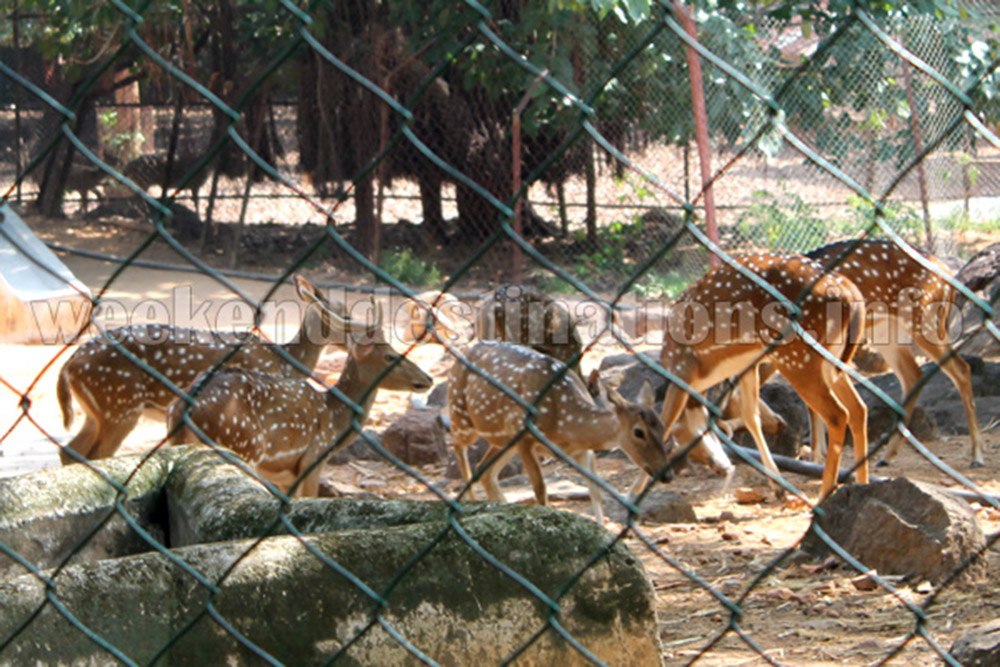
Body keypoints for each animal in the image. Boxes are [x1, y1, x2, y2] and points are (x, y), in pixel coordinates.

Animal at [56, 275, 348, 465]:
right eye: (345, 314)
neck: (284, 361)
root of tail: (69, 366)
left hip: (98, 411)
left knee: (70, 452)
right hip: (120, 406)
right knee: (98, 456)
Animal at [167, 300, 433, 497]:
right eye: (390, 356)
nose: (427, 378)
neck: (335, 419)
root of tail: (182, 409)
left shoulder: (287, 477)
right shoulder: (313, 459)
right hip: (242, 445)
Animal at [448, 340, 671, 523]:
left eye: (662, 426)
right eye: (638, 432)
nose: (667, 475)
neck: (564, 422)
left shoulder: (583, 451)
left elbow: (596, 491)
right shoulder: (526, 436)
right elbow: (540, 491)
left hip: (504, 440)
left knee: (485, 470)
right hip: (462, 415)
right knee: (457, 446)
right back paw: (471, 500)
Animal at [653, 253, 869, 501]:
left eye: (684, 443)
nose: (721, 467)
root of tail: (850, 294)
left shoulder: (681, 371)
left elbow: (665, 421)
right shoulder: (747, 366)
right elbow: (751, 416)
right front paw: (778, 487)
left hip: (798, 358)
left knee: (837, 414)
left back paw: (825, 491)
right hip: (833, 362)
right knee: (858, 408)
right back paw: (862, 483)